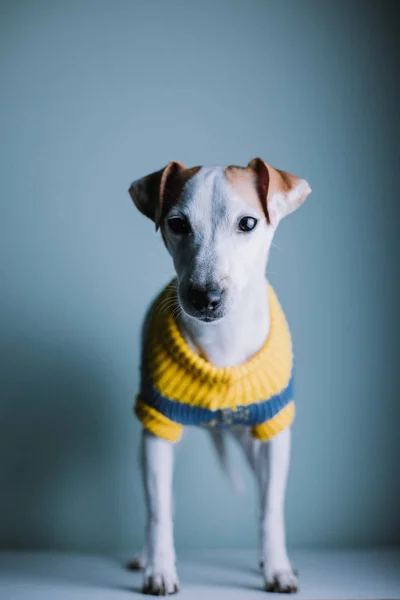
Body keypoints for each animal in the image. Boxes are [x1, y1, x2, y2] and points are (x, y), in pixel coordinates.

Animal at [128, 161, 312, 596]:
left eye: (248, 223)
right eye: (177, 223)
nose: (204, 296)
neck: (223, 343)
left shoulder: (273, 434)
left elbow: (270, 508)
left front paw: (277, 568)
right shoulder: (157, 430)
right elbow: (158, 510)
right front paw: (160, 569)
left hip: (249, 441)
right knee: (160, 501)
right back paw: (145, 556)